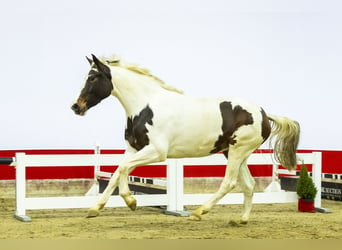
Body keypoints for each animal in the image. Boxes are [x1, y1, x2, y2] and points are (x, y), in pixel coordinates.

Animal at [71, 53, 300, 224]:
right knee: (249, 184)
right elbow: (117, 172)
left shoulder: (157, 151)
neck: (144, 107)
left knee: (229, 183)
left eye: (92, 78)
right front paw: (95, 208)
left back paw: (199, 212)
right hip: (233, 152)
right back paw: (241, 220)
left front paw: (131, 201)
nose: (76, 107)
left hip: (237, 150)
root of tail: (263, 113)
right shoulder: (133, 148)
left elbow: (123, 169)